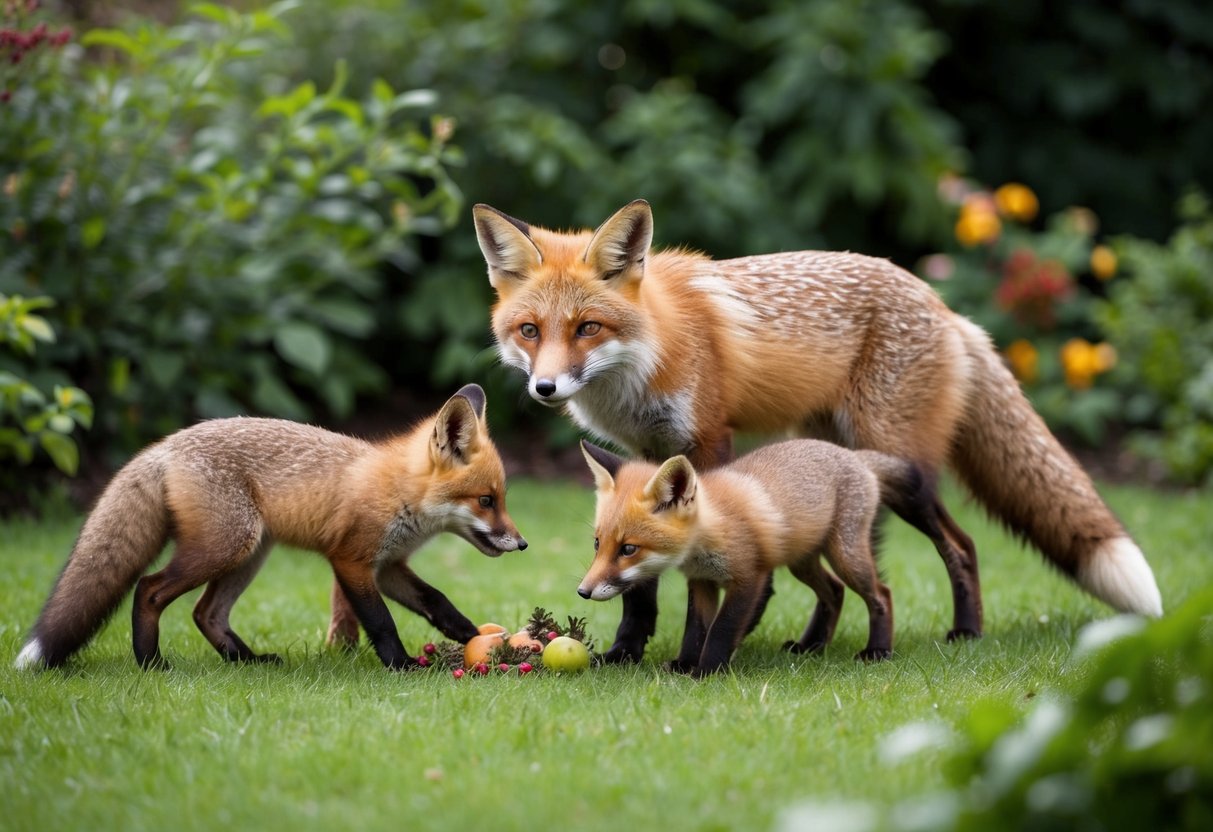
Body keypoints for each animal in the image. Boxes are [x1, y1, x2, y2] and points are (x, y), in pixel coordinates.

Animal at [15, 384, 526, 671]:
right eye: (486, 501)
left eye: (502, 500)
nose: (521, 543)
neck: (400, 492)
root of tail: (163, 446)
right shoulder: (351, 560)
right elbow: (380, 622)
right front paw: (401, 666)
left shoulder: (388, 565)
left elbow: (437, 601)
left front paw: (473, 636)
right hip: (226, 546)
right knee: (149, 589)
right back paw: (151, 663)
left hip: (248, 553)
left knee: (206, 613)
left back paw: (247, 662)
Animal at [577, 439, 962, 675]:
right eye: (597, 544)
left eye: (628, 549)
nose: (583, 591)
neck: (712, 530)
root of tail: (853, 455)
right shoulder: (702, 581)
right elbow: (695, 629)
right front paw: (686, 664)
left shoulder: (750, 577)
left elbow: (722, 628)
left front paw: (707, 671)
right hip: (802, 561)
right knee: (834, 592)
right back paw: (811, 646)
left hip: (846, 556)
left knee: (881, 594)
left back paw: (878, 651)